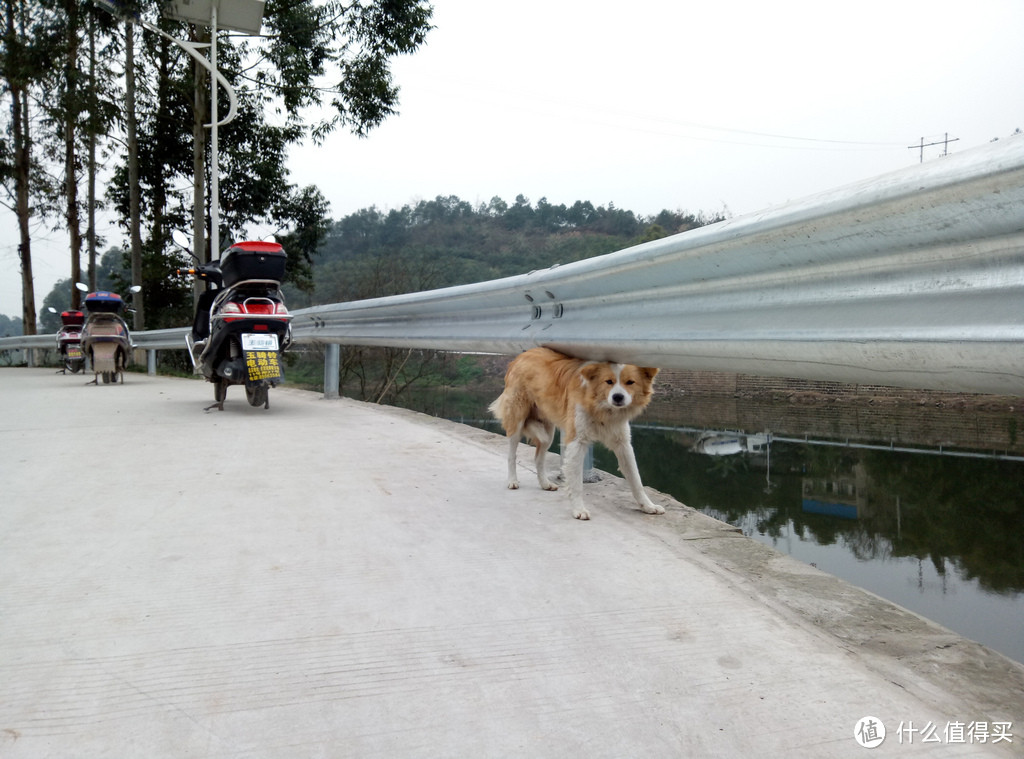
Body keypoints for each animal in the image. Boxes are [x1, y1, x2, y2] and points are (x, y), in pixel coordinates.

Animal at [489, 344, 663, 518]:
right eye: (609, 382)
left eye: (630, 382)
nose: (618, 397)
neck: (601, 407)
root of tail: (522, 355)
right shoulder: (577, 441)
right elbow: (576, 482)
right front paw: (579, 509)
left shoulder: (623, 443)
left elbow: (635, 479)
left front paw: (648, 506)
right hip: (517, 420)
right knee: (512, 454)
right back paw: (512, 480)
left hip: (547, 433)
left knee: (539, 458)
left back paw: (545, 483)